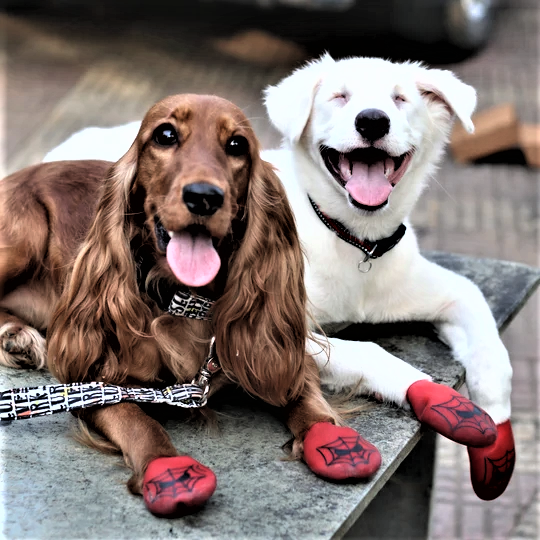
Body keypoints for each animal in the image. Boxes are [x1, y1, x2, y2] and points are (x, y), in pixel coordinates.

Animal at [43, 57, 516, 500]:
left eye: (400, 99)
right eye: (340, 97)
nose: (372, 120)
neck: (353, 242)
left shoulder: (438, 287)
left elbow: (489, 340)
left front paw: (494, 432)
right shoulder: (279, 330)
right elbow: (368, 351)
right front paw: (430, 394)